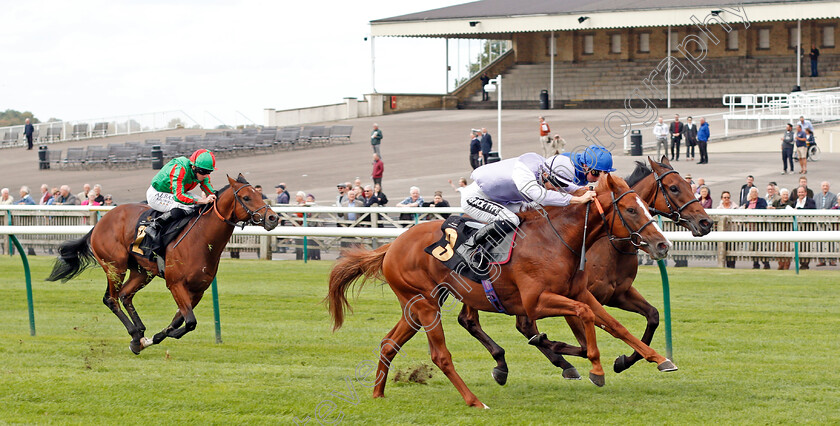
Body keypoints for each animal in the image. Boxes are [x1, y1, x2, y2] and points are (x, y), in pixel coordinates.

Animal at [46, 175, 278, 354]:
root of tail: (100, 222)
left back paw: (139, 334)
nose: (273, 218)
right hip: (115, 266)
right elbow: (190, 321)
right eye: (247, 197)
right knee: (111, 299)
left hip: (142, 272)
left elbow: (181, 321)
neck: (201, 238)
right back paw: (134, 334)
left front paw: (155, 337)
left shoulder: (198, 290)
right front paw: (160, 335)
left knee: (125, 295)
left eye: (260, 194)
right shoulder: (175, 284)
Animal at [326, 175, 676, 408]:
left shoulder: (581, 292)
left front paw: (658, 358)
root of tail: (392, 245)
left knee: (388, 344)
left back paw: (378, 393)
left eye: (646, 206)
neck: (557, 239)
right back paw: (474, 401)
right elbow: (585, 316)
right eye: (630, 209)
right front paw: (596, 367)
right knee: (440, 355)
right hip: (426, 305)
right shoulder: (536, 302)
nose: (662, 245)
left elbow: (614, 324)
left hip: (414, 307)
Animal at [456, 156, 712, 382]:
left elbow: (651, 317)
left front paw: (626, 361)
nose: (706, 223)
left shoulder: (619, 293)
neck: (606, 244)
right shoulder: (574, 297)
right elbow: (587, 338)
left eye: (688, 185)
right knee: (491, 322)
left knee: (477, 320)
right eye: (674, 188)